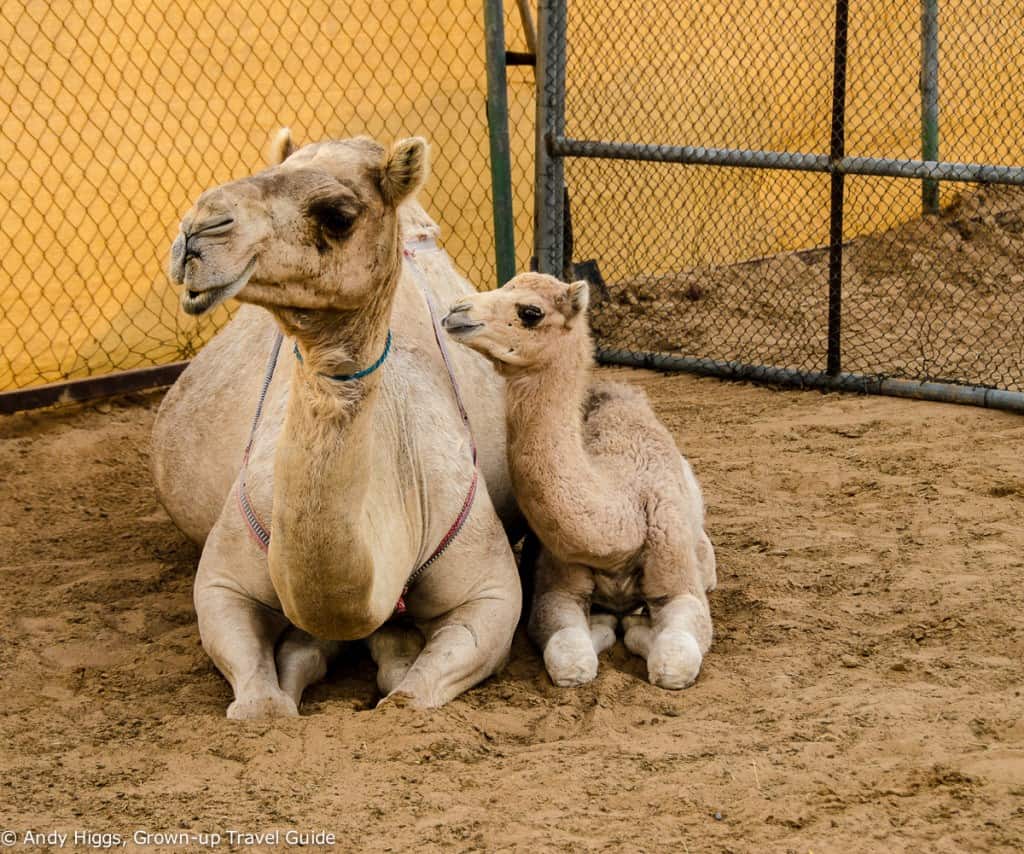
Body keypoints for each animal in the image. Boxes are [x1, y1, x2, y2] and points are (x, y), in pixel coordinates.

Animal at [151, 130, 521, 718]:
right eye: (265, 171)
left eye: (338, 215)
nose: (198, 228)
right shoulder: (223, 579)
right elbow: (263, 701)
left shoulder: (489, 591)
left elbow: (406, 696)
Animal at [442, 272, 716, 689]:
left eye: (531, 312)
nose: (456, 311)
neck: (622, 521)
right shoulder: (557, 587)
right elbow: (572, 662)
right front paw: (606, 624)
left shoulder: (679, 581)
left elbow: (674, 663)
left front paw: (635, 627)